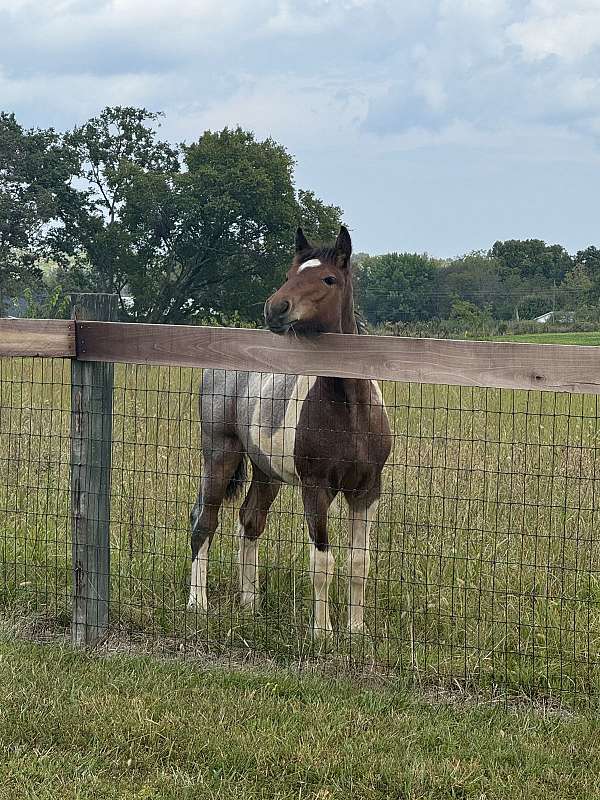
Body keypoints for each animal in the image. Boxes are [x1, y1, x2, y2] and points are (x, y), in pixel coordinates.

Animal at [189, 227, 394, 636]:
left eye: (328, 279)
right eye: (289, 274)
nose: (275, 308)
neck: (351, 413)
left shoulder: (367, 490)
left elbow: (359, 562)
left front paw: (356, 631)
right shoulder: (316, 488)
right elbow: (323, 563)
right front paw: (322, 632)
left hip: (266, 472)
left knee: (250, 521)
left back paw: (250, 606)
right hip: (220, 457)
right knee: (204, 521)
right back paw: (197, 604)